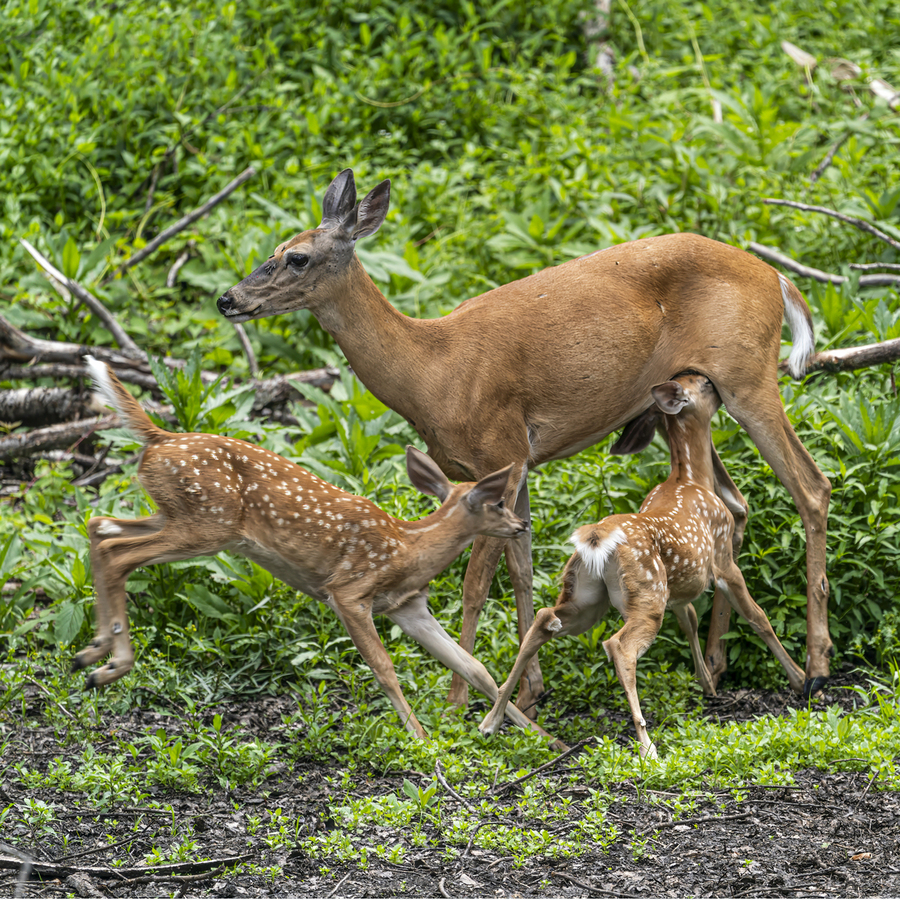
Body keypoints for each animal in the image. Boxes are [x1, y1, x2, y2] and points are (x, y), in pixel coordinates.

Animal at [75, 356, 564, 744]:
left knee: (99, 526)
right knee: (119, 551)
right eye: (496, 502)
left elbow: (474, 668)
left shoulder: (407, 607)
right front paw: (423, 740)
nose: (520, 524)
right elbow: (384, 667)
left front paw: (542, 737)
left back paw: (93, 653)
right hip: (206, 524)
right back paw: (109, 663)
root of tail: (158, 439)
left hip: (174, 514)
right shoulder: (349, 591)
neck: (407, 550)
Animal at [214, 167, 832, 704]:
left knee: (811, 487)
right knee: (736, 500)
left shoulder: (499, 451)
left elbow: (474, 586)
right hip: (693, 399)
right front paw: (531, 692)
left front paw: (459, 701)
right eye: (273, 249)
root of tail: (776, 277)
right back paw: (721, 663)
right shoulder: (518, 463)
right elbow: (522, 570)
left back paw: (816, 668)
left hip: (748, 376)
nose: (228, 299)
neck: (430, 372)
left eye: (297, 257)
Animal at [482, 372, 804, 760]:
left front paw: (708, 686)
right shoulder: (722, 559)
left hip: (591, 596)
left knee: (545, 618)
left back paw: (492, 720)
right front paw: (801, 679)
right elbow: (758, 617)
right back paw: (648, 746)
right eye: (703, 385)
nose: (713, 381)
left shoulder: (677, 589)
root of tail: (597, 536)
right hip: (647, 593)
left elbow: (690, 620)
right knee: (618, 646)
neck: (691, 478)